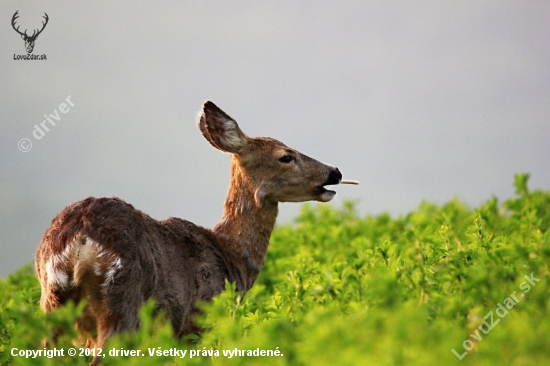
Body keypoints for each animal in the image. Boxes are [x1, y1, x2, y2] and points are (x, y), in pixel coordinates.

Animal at [36, 100, 360, 364]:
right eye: (286, 156)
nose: (335, 172)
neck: (232, 257)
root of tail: (79, 238)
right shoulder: (203, 318)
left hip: (54, 303)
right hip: (122, 300)